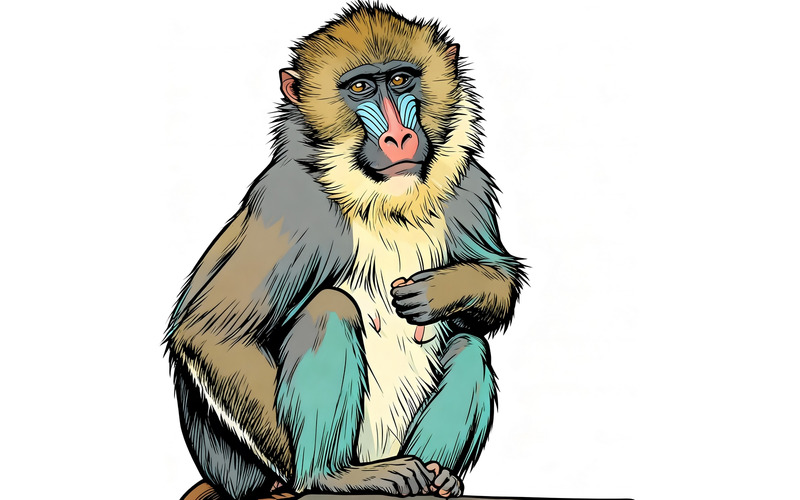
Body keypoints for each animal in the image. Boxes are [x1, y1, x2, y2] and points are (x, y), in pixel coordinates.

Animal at [165, 4, 526, 500]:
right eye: (360, 88)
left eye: (400, 80)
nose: (399, 138)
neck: (386, 203)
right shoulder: (291, 205)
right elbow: (212, 332)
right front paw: (299, 477)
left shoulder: (469, 187)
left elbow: (499, 274)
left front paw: (441, 291)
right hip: (236, 469)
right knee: (330, 307)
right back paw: (330, 476)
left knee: (471, 345)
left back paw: (437, 477)